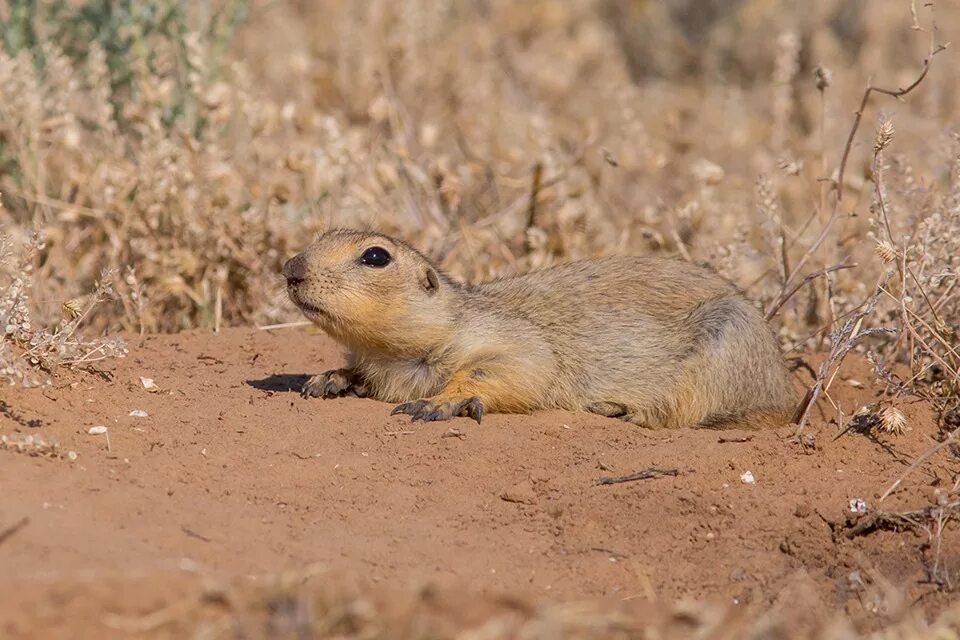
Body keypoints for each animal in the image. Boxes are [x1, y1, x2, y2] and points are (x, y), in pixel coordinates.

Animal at [284, 228, 796, 428]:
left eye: (375, 256)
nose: (290, 267)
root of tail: (783, 391)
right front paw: (329, 378)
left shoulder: (504, 336)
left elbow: (518, 365)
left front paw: (440, 402)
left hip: (727, 342)